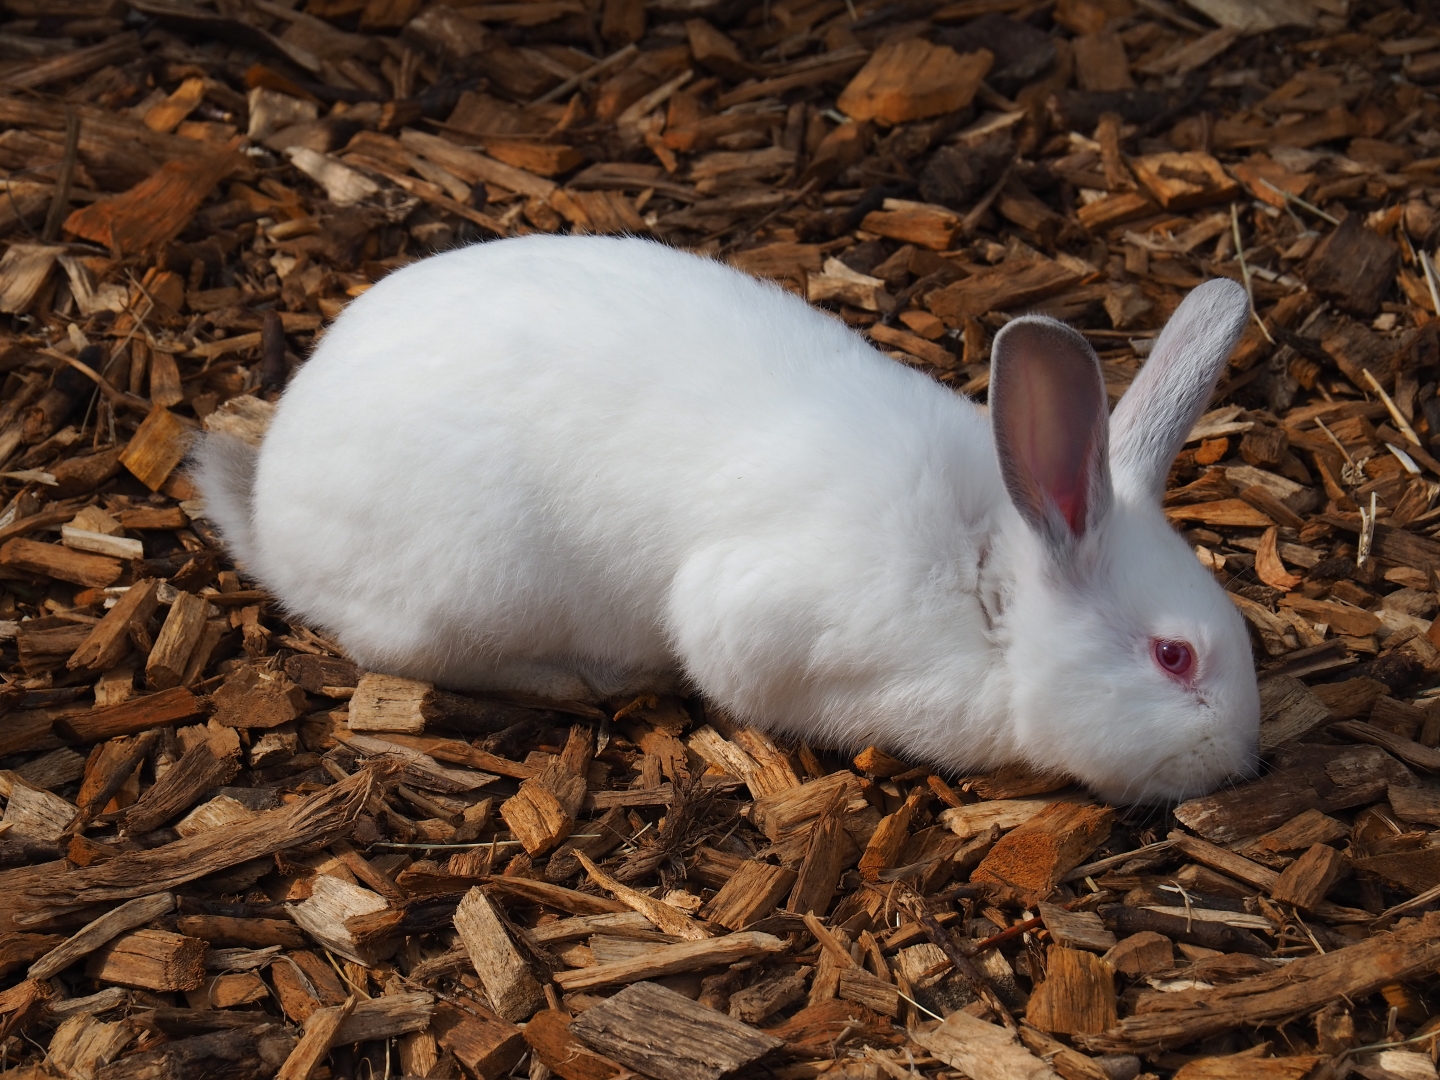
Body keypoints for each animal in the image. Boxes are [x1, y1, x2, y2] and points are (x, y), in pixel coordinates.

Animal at [194, 235, 1260, 804]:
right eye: (1174, 657)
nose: (1245, 761)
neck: (985, 576)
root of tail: (272, 514)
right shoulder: (749, 620)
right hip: (471, 589)